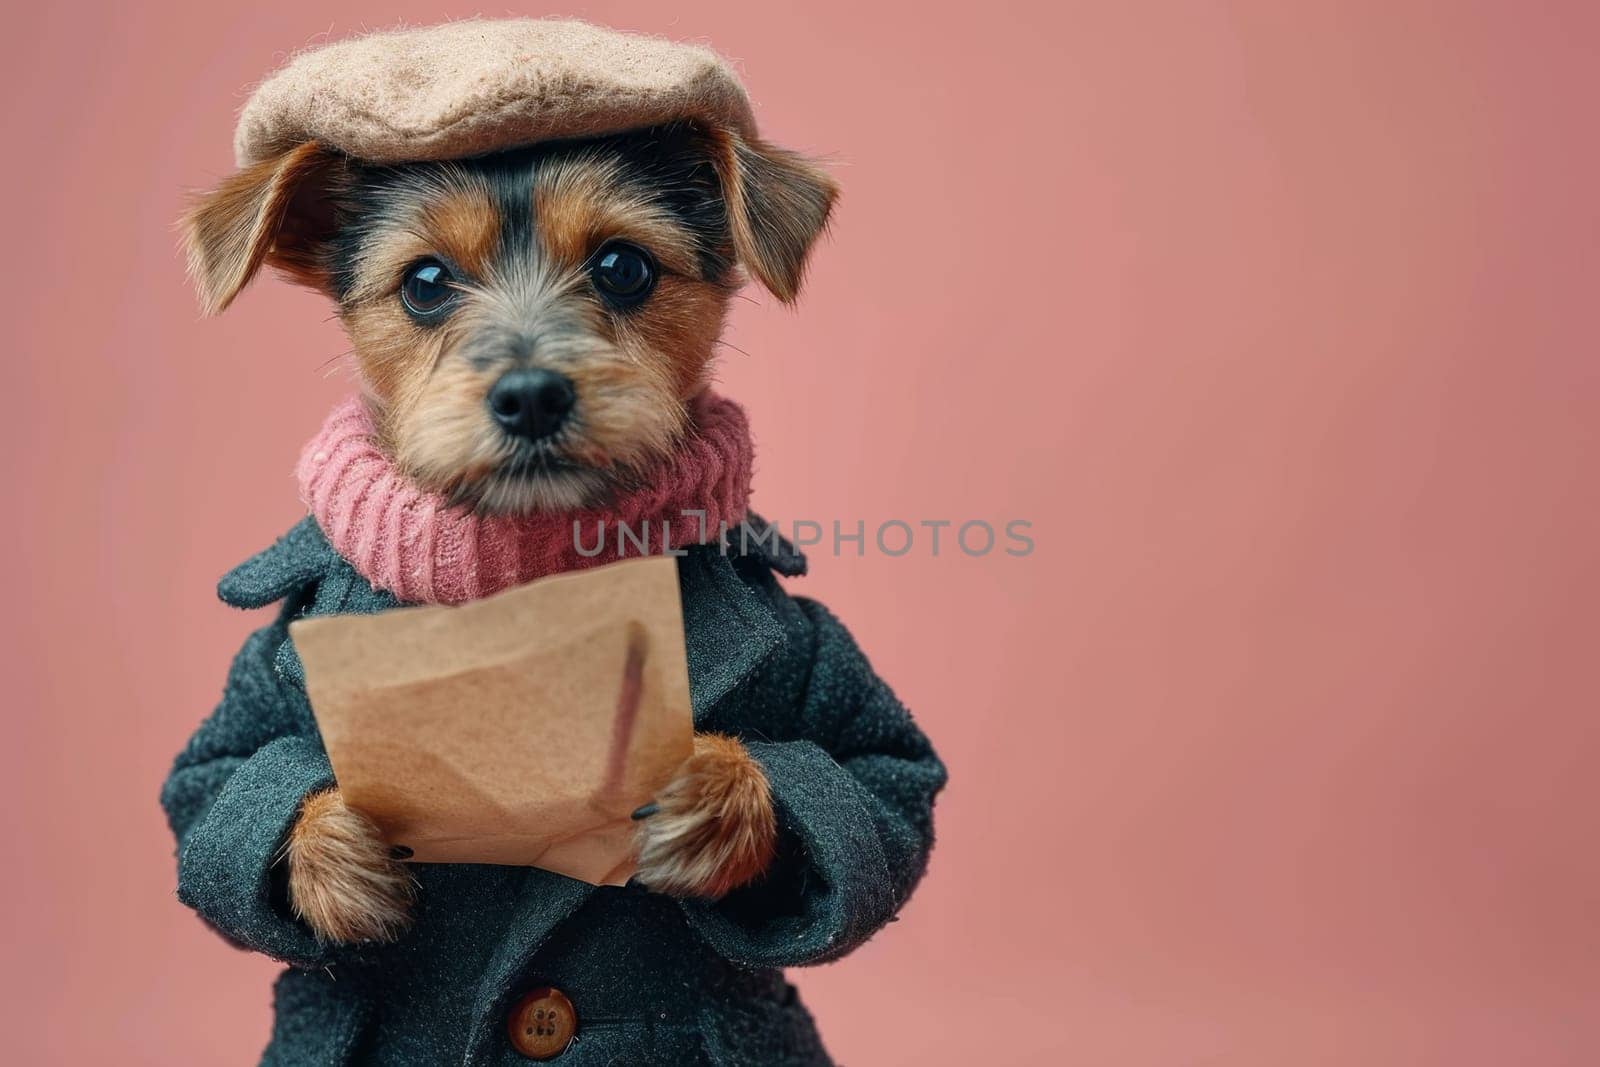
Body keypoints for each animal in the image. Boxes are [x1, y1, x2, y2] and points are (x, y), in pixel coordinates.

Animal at [180, 120, 838, 947]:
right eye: (425, 283)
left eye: (623, 267)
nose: (530, 395)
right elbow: (211, 783)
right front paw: (337, 849)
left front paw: (713, 795)